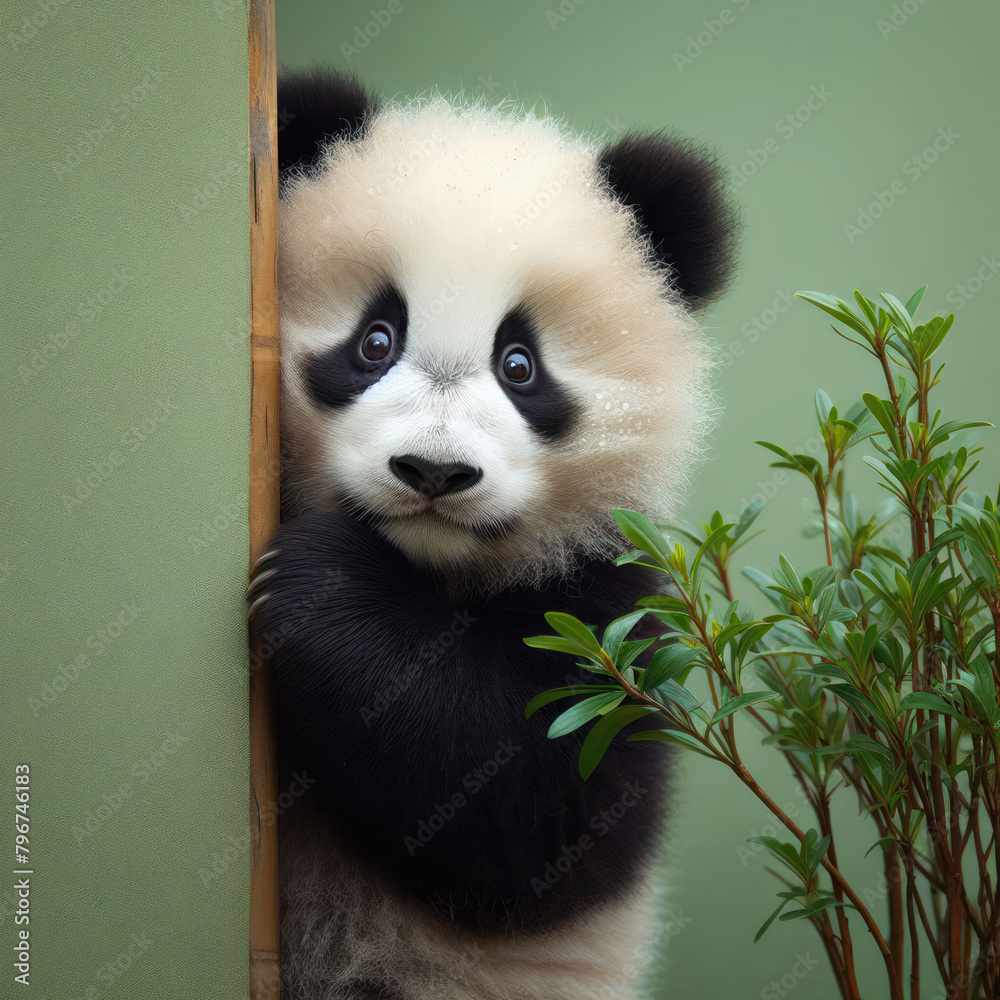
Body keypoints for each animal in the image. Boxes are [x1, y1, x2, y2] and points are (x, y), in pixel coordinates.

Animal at [249, 70, 738, 1000]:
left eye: (520, 366)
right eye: (376, 340)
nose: (432, 473)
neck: (430, 575)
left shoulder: (612, 613)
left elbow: (537, 821)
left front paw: (321, 589)